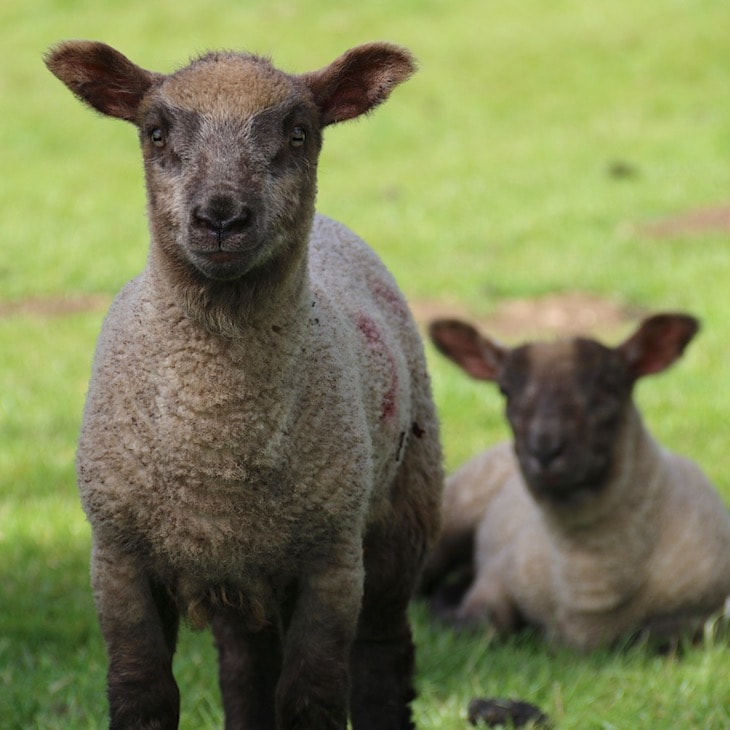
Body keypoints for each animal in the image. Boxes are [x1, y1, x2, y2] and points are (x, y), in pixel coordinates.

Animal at [45, 40, 442, 730]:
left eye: (299, 131)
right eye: (155, 132)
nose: (221, 217)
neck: (216, 449)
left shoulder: (331, 558)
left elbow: (312, 697)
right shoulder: (117, 555)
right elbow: (142, 692)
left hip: (402, 512)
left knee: (382, 660)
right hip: (240, 570)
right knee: (246, 669)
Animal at [422, 312, 730, 650]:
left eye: (609, 385)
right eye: (504, 390)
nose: (544, 449)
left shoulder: (704, 620)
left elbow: (651, 638)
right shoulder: (496, 574)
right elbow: (481, 628)